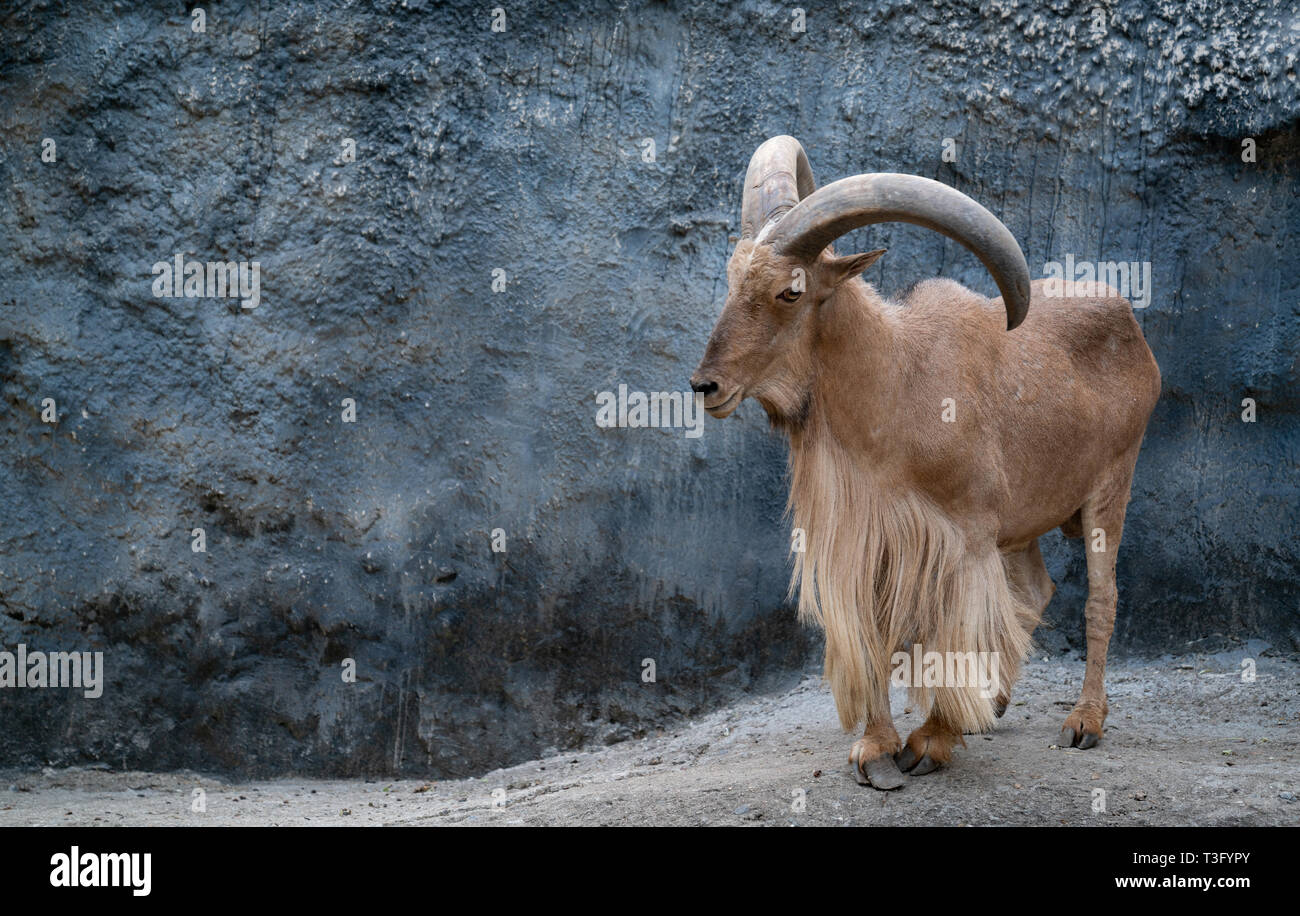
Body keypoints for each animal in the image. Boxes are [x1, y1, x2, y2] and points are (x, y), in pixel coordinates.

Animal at [691, 135, 1159, 784]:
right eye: (733, 279)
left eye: (791, 290)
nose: (705, 386)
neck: (898, 385)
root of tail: (1130, 323)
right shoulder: (870, 541)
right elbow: (877, 635)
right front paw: (876, 749)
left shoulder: (964, 538)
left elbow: (953, 632)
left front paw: (931, 741)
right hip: (1022, 523)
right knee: (1035, 590)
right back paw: (992, 704)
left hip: (1110, 486)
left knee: (1099, 599)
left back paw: (1084, 721)